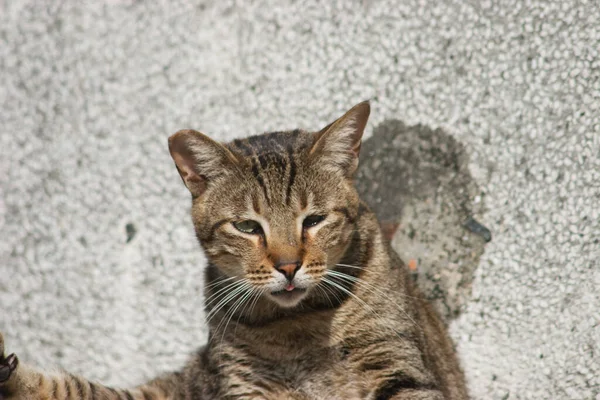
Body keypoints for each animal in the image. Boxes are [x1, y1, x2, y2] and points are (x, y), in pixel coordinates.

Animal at [0, 101, 468, 398]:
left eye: (314, 220)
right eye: (247, 226)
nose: (288, 265)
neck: (297, 324)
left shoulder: (397, 366)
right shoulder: (245, 385)